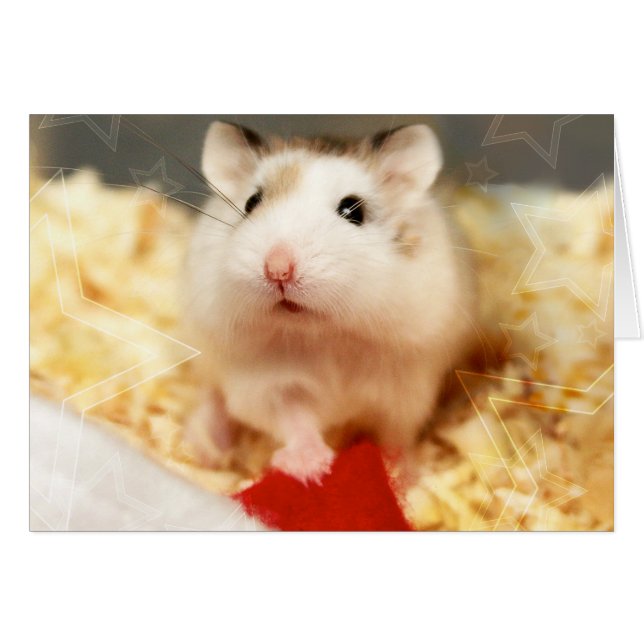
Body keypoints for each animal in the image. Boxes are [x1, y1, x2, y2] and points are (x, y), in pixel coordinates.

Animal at [181, 121, 476, 483]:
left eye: (353, 210)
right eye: (251, 203)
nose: (277, 268)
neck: (324, 333)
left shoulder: (405, 390)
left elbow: (396, 435)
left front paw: (401, 476)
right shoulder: (268, 384)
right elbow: (293, 419)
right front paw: (311, 468)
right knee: (213, 397)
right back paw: (204, 448)